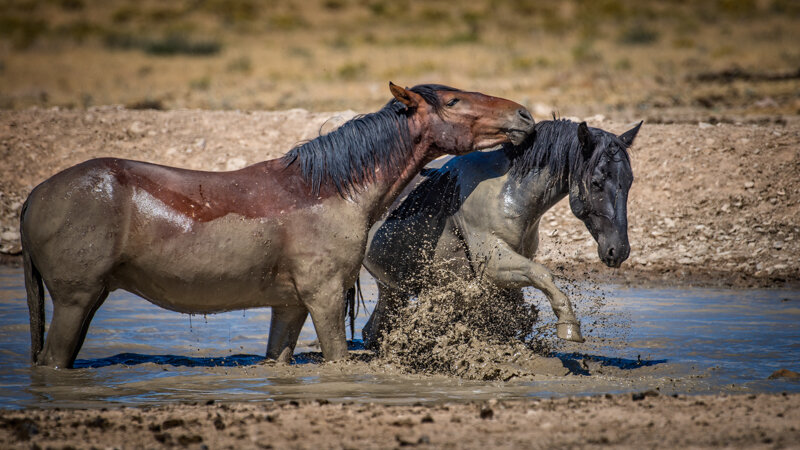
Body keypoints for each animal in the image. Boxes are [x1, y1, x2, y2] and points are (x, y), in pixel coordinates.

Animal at [21, 82, 536, 368]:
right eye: (453, 99)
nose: (525, 115)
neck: (332, 191)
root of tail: (34, 197)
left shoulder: (288, 305)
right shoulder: (324, 296)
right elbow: (337, 356)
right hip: (76, 298)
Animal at [362, 119, 644, 348]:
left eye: (629, 181)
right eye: (596, 182)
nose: (619, 250)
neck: (507, 191)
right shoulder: (492, 264)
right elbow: (541, 274)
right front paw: (569, 326)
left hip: (392, 289)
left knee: (372, 330)